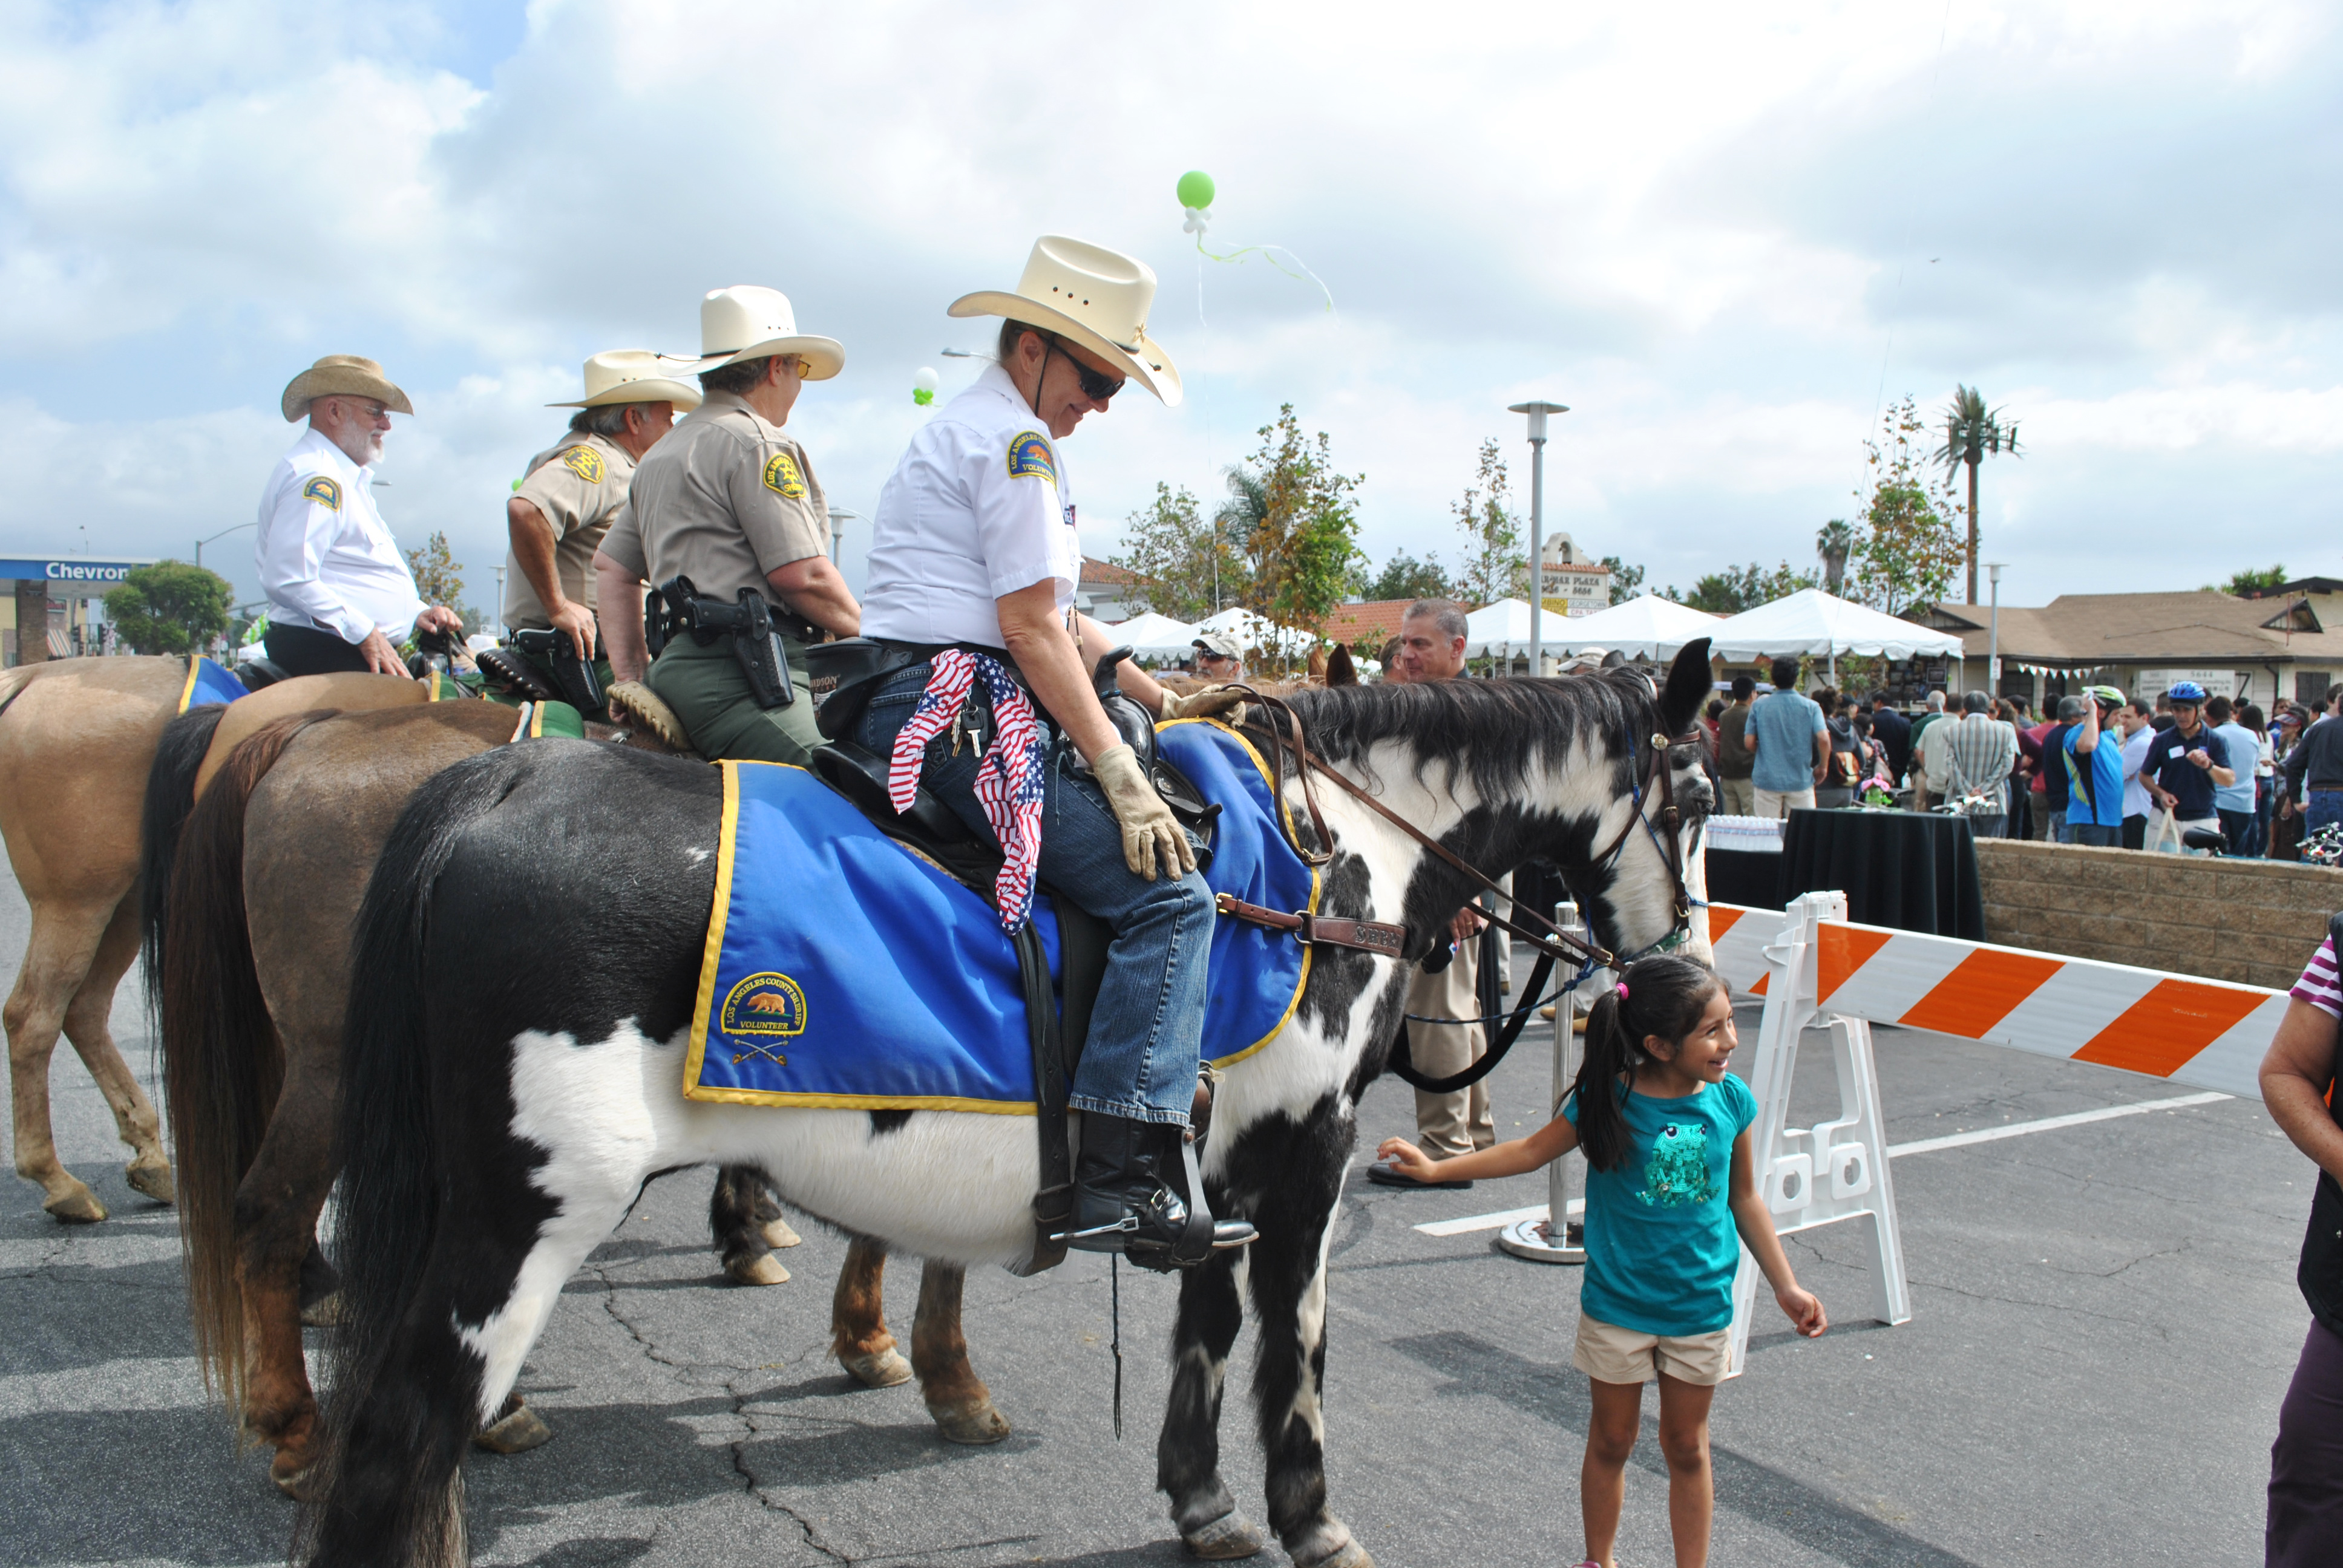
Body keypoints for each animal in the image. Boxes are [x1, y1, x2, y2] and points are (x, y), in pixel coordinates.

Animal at [0, 656, 431, 1218]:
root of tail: (33, 677)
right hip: (74, 900)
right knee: (32, 1016)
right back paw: (58, 1180)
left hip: (123, 901)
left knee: (84, 1008)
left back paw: (149, 1155)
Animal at [302, 637, 1715, 1566]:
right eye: (1695, 801)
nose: (1685, 979)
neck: (1329, 857)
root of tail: (499, 784)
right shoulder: (1306, 1161)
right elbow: (1297, 1344)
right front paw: (1310, 1519)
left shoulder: (1215, 1174)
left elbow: (1207, 1328)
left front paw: (1202, 1502)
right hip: (516, 1229)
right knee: (394, 1445)